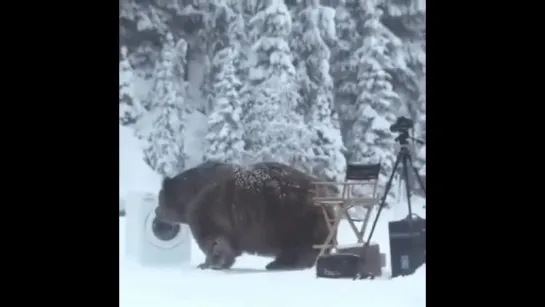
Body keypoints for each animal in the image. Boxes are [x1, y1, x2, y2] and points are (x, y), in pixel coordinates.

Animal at [159, 162, 336, 270]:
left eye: (159, 201)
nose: (156, 214)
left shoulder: (209, 209)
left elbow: (214, 239)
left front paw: (209, 263)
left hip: (291, 216)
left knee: (304, 246)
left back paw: (285, 263)